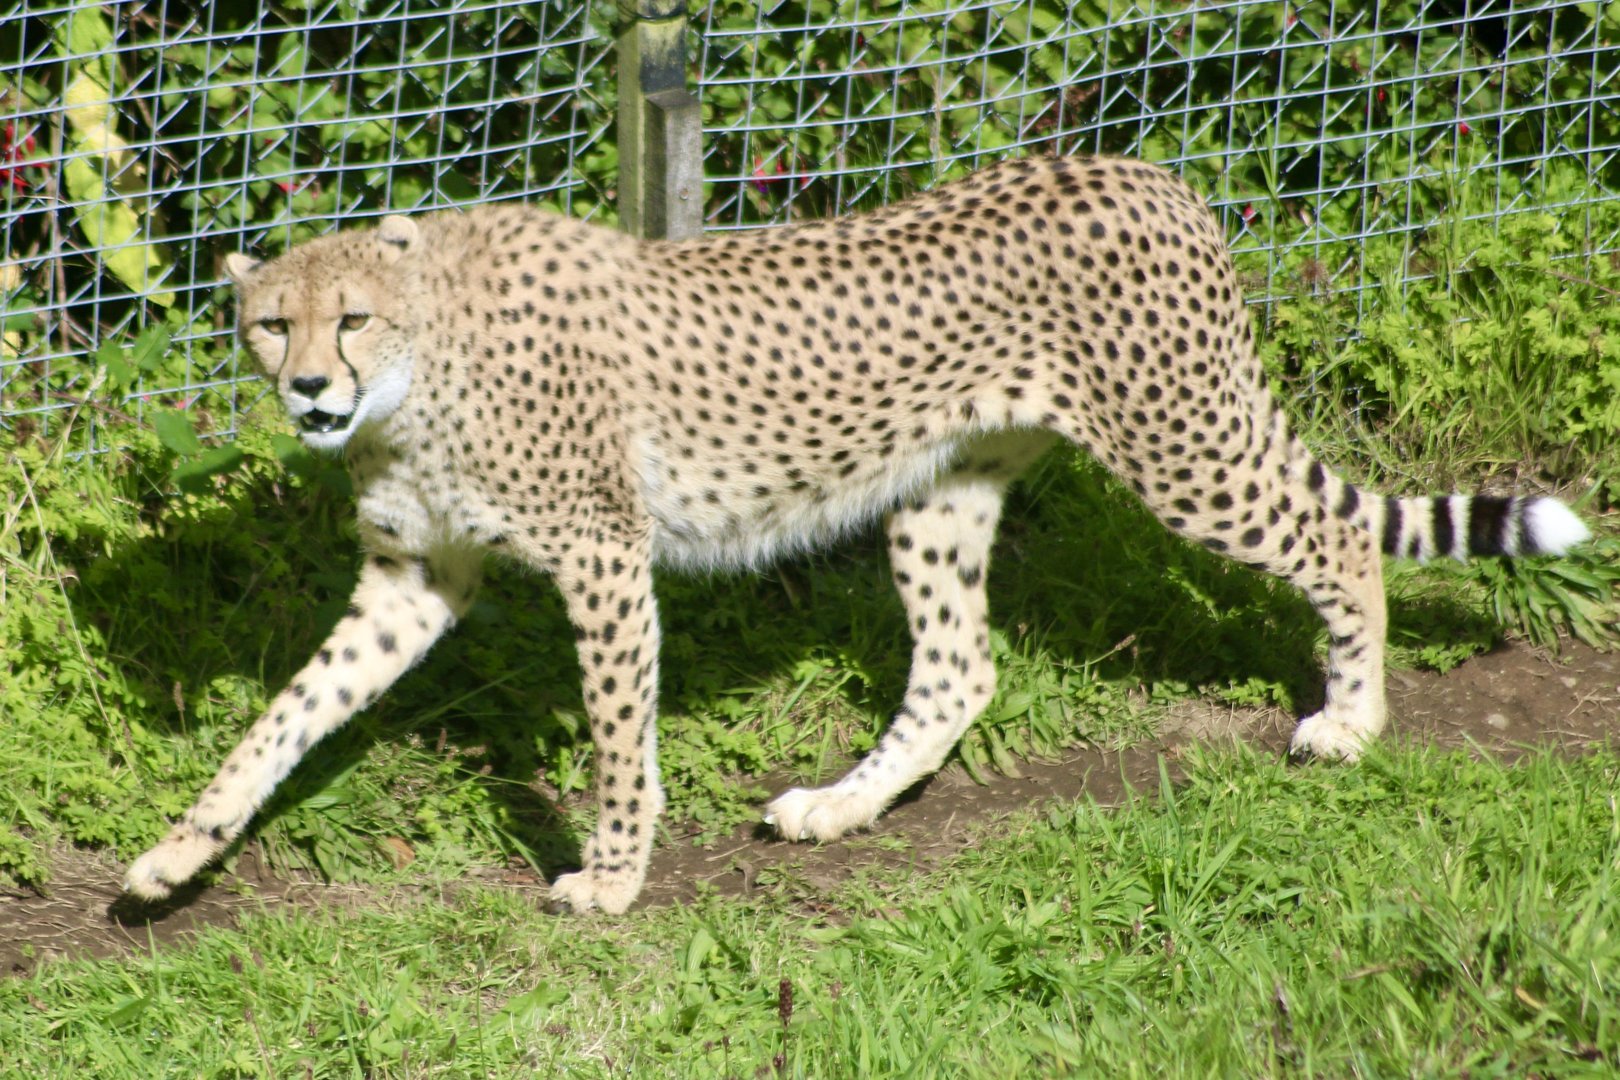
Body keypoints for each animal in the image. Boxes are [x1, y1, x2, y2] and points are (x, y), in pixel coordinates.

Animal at [123, 155, 1590, 914]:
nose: (312, 390)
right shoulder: (416, 577)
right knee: (961, 669)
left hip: (1183, 448)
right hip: (940, 492)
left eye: (352, 318)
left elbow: (616, 739)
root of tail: (1144, 169)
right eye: (271, 324)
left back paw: (1351, 721)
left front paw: (612, 876)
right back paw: (838, 805)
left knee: (1338, 544)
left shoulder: (603, 558)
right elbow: (286, 715)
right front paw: (178, 855)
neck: (425, 371)